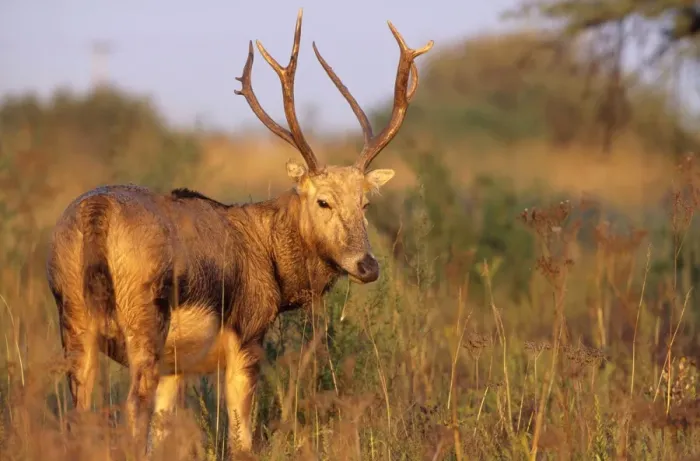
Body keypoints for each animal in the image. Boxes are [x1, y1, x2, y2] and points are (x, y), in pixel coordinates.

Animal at [45, 8, 433, 457]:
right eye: (323, 201)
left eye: (365, 203)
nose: (367, 265)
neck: (270, 258)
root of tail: (98, 213)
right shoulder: (248, 332)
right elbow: (241, 437)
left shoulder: (175, 365)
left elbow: (162, 434)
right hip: (144, 318)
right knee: (130, 409)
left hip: (73, 317)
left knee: (79, 413)